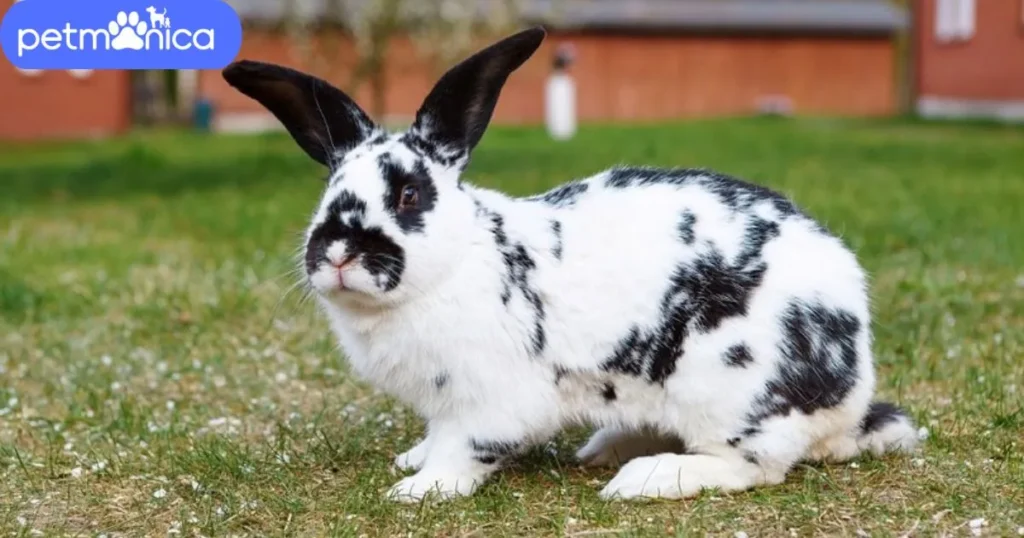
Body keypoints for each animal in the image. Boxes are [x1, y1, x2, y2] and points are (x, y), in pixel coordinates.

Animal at [222, 25, 921, 502]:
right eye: (329, 190)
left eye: (409, 195)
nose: (338, 252)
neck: (456, 264)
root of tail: (851, 395)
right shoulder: (443, 402)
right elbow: (436, 434)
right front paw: (411, 462)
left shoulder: (491, 400)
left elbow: (465, 447)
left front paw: (420, 489)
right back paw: (603, 450)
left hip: (728, 390)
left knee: (752, 466)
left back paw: (643, 477)